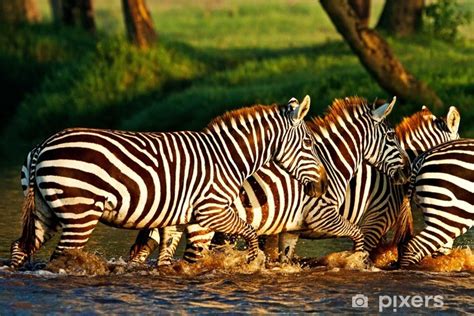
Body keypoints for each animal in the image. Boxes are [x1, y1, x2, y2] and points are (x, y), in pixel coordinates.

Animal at [10, 96, 326, 270]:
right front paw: (253, 263)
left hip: (46, 212)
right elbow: (248, 232)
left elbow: (168, 260)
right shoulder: (210, 212)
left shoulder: (178, 218)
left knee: (20, 247)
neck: (228, 158)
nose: (322, 186)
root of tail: (43, 145)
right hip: (80, 212)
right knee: (60, 257)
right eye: (309, 144)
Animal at [131, 95, 412, 264]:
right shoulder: (324, 217)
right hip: (203, 228)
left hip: (173, 223)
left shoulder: (292, 228)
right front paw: (355, 262)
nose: (407, 172)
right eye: (390, 137)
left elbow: (284, 259)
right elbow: (358, 236)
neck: (332, 163)